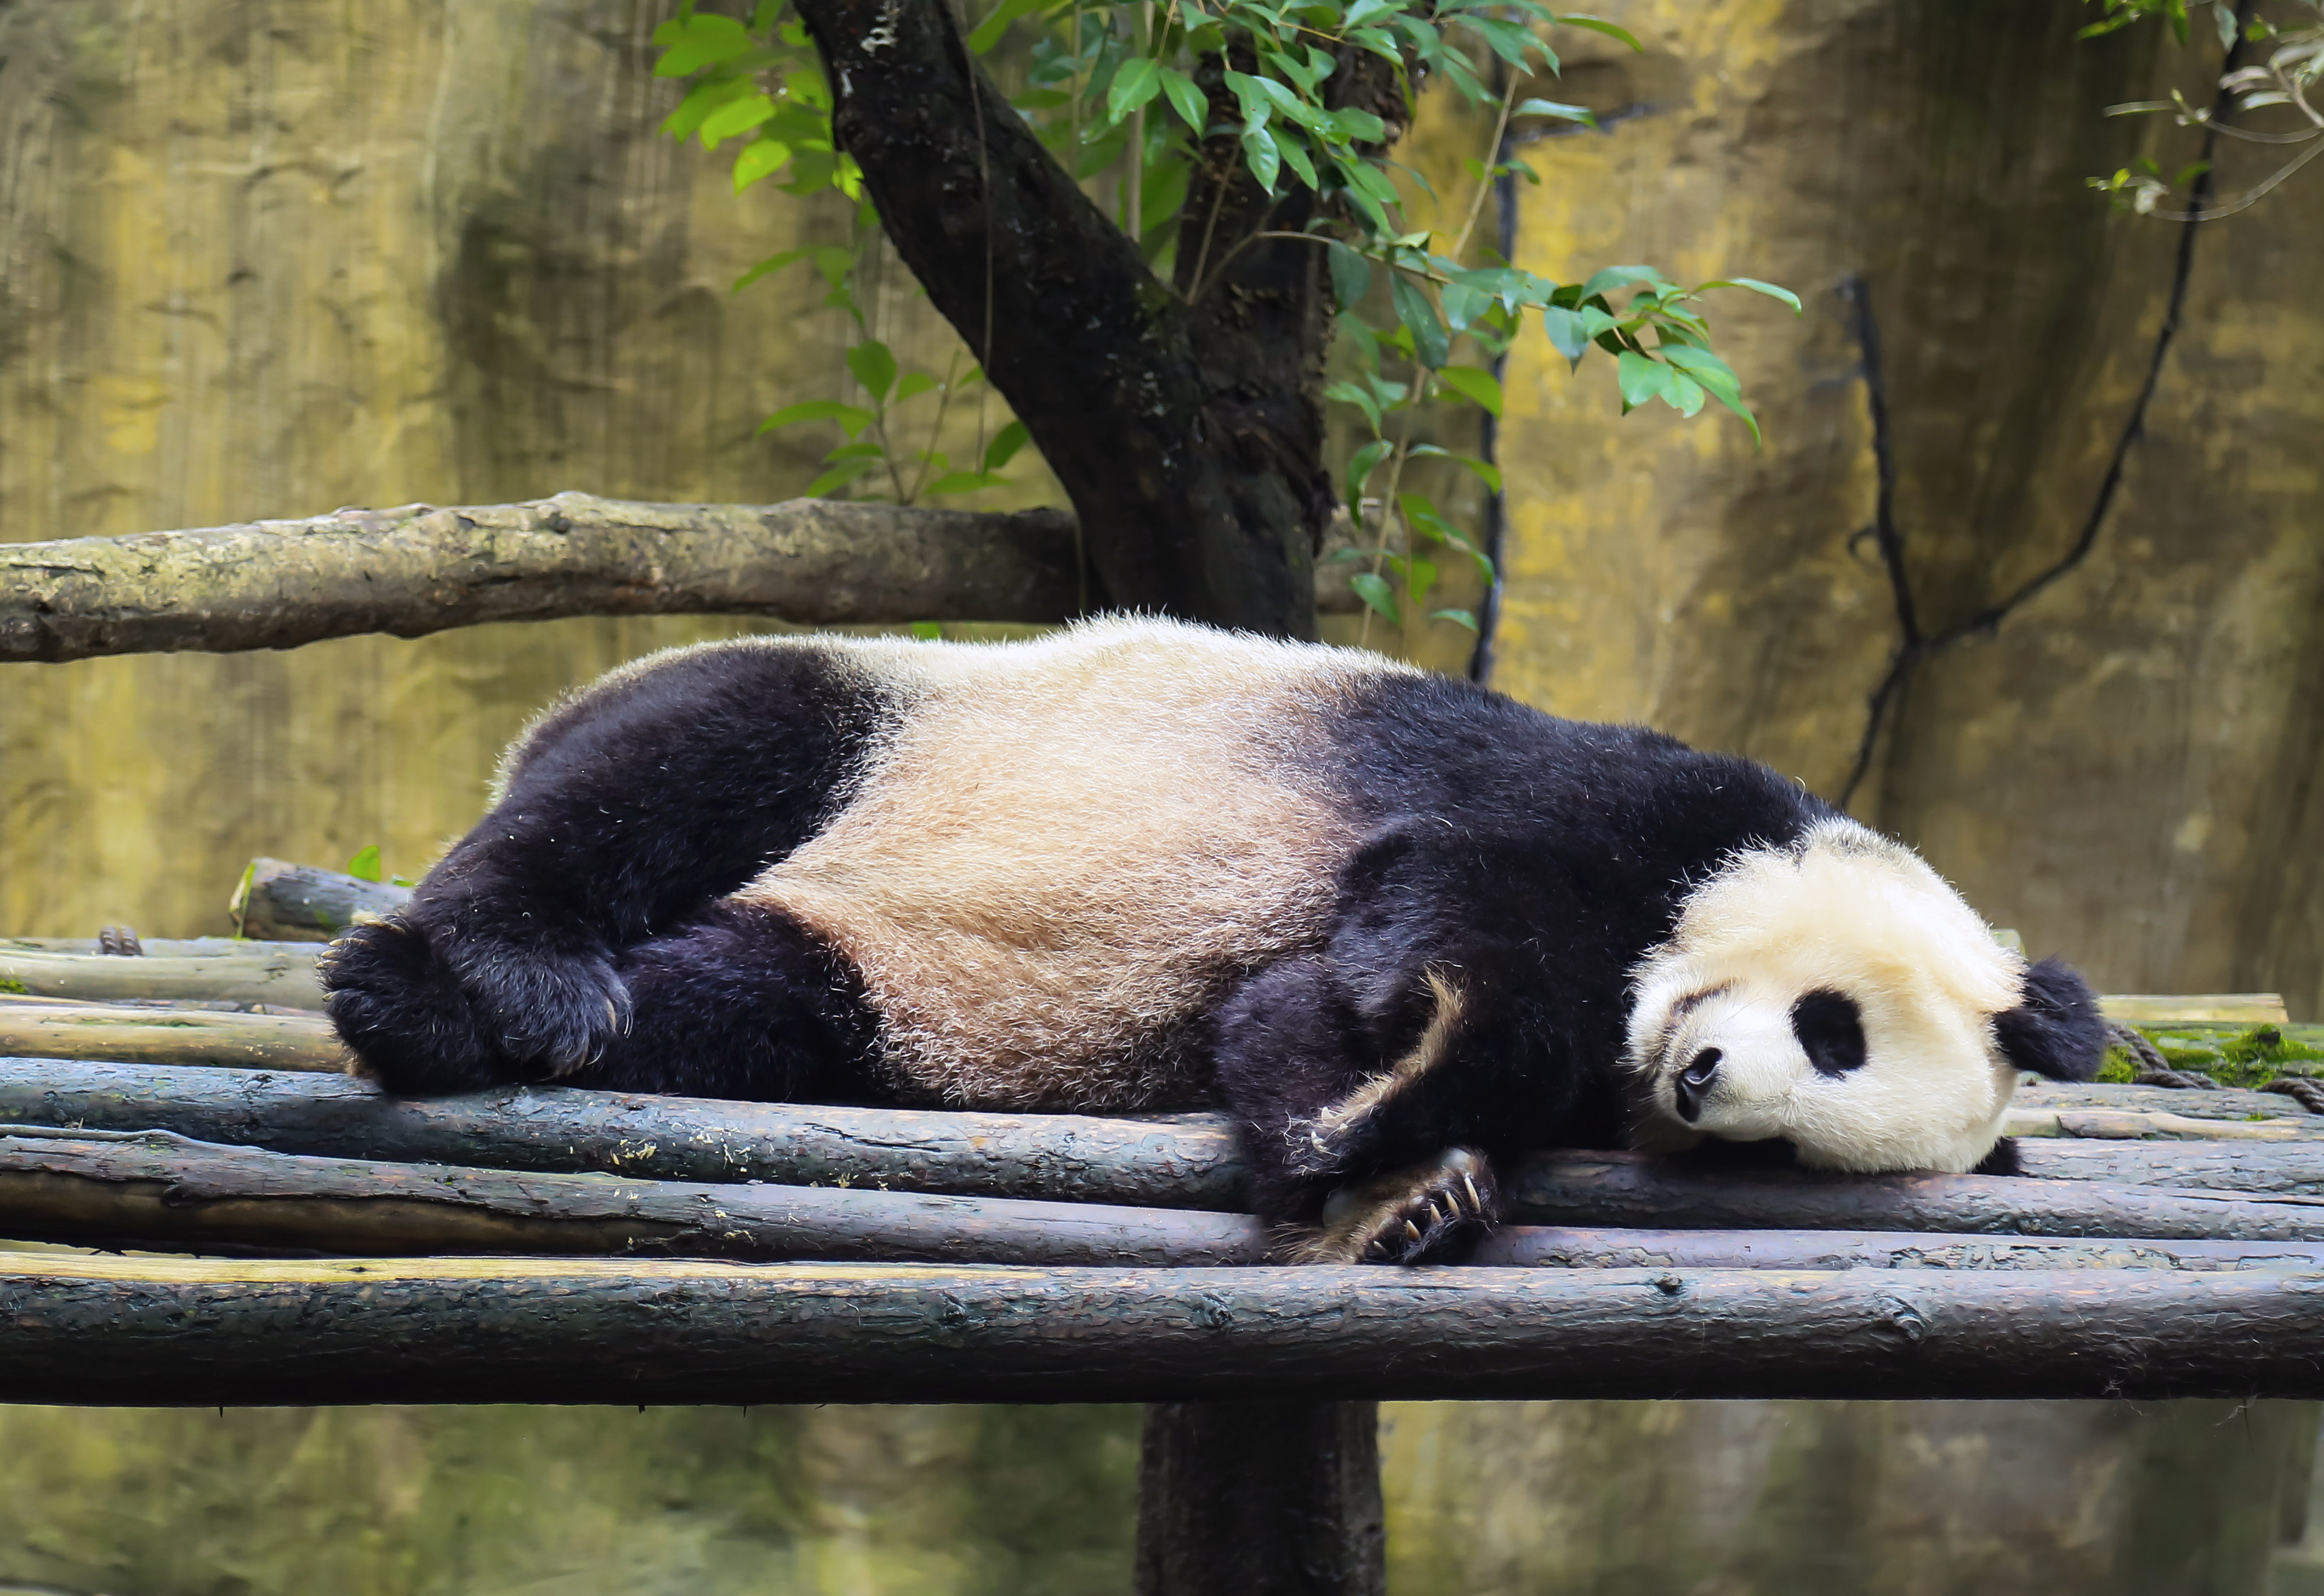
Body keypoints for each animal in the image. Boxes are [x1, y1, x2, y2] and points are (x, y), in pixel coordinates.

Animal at [318, 618, 2119, 1264]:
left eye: (1791, 1141)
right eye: (1834, 1025)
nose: (1700, 1079)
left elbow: (1278, 1018)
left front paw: (1393, 1164)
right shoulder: (1606, 798)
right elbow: (1448, 904)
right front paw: (1412, 1092)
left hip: (865, 987)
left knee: (745, 999)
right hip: (891, 708)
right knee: (672, 764)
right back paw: (461, 979)